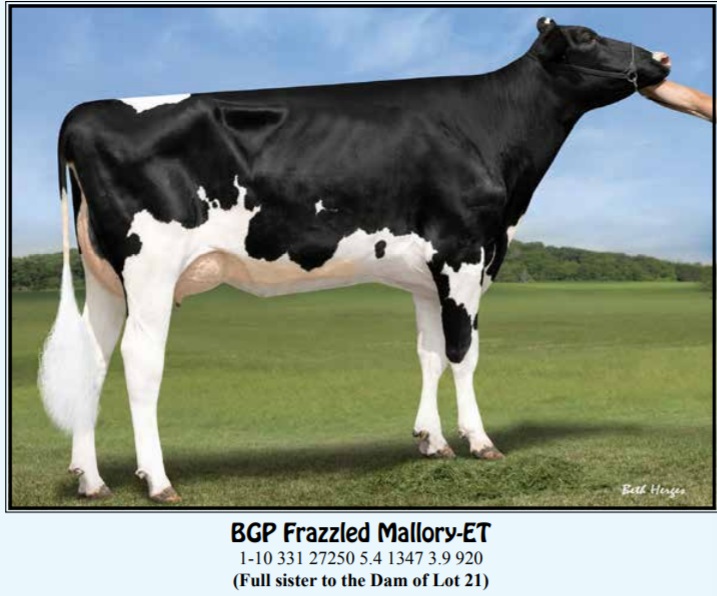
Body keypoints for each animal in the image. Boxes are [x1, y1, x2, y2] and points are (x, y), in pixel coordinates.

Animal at [39, 18, 671, 503]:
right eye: (587, 36)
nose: (662, 57)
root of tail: (83, 112)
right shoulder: (464, 253)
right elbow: (464, 353)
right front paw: (479, 441)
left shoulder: (426, 274)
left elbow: (429, 355)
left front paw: (432, 442)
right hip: (150, 269)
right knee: (141, 361)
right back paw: (157, 480)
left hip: (105, 279)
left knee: (93, 361)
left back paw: (91, 479)